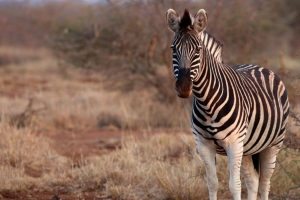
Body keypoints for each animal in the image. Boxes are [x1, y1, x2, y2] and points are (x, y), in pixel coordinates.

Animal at [165, 8, 290, 200]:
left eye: (198, 50)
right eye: (173, 49)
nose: (184, 88)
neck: (207, 103)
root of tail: (259, 67)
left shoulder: (234, 144)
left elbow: (234, 185)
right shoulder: (203, 145)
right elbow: (212, 183)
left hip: (273, 144)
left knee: (264, 183)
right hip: (248, 148)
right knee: (253, 180)